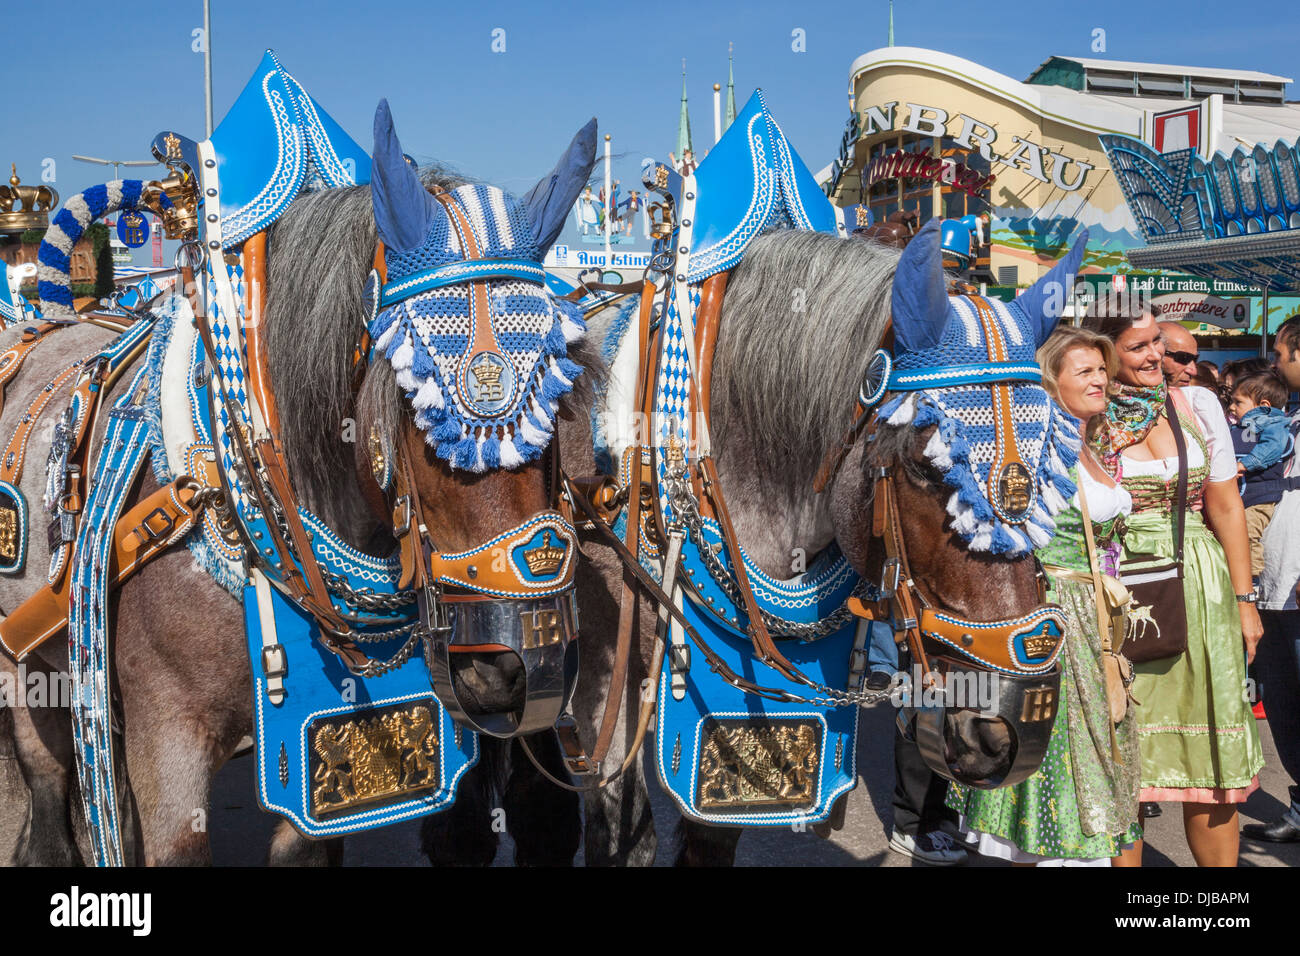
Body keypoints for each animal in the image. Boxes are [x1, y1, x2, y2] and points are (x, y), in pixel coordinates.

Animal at [0, 160, 598, 863]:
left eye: (558, 400)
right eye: (419, 404)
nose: (521, 665)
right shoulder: (168, 744)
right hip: (26, 669)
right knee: (45, 786)